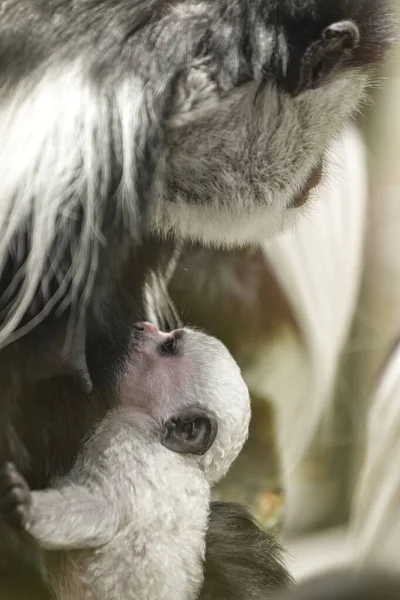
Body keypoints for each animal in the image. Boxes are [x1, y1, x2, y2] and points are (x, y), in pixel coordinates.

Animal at [0, 324, 250, 600]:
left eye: (169, 346)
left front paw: (26, 506)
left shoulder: (130, 443)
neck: (187, 461)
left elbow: (103, 510)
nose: (143, 326)